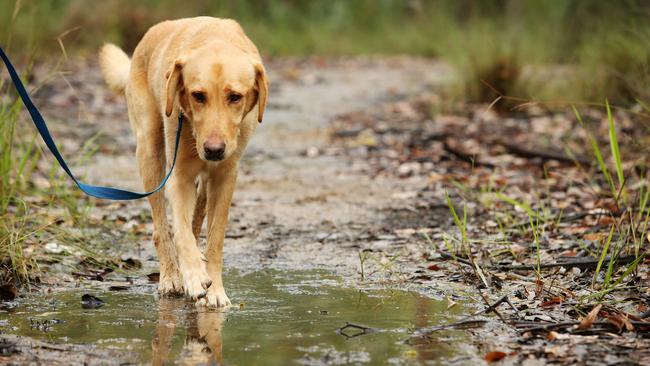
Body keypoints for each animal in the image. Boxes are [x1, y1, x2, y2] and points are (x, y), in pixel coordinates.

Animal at [98, 17, 266, 306]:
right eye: (198, 95)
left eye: (235, 97)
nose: (213, 150)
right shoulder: (179, 176)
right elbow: (182, 233)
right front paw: (193, 277)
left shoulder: (225, 175)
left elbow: (215, 238)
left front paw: (215, 289)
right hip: (150, 152)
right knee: (162, 229)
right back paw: (171, 277)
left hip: (207, 177)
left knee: (198, 215)